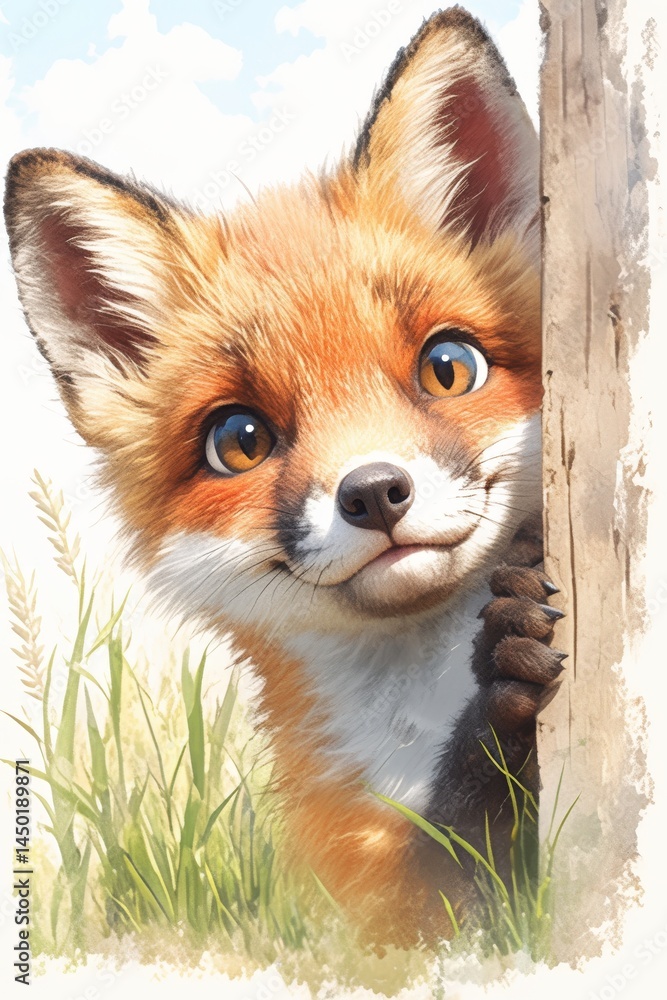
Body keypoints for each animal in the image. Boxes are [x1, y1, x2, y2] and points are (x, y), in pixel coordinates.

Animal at [4, 8, 565, 948]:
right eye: (239, 440)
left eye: (448, 367)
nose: (373, 492)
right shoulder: (364, 902)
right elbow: (459, 877)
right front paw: (501, 707)